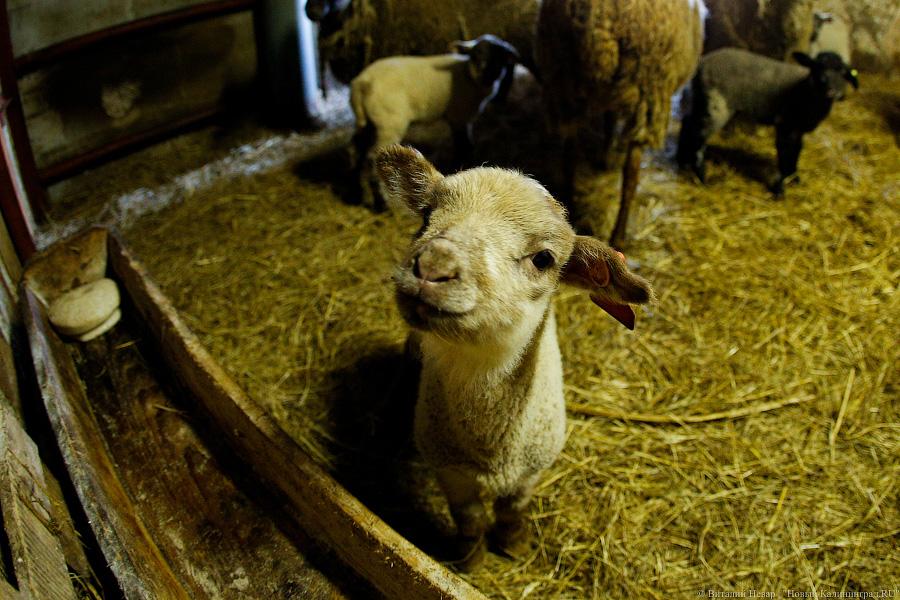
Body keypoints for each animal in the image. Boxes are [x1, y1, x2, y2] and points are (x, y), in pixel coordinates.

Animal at [349, 35, 520, 209]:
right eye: (475, 55)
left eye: (499, 57)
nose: (482, 75)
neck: (468, 75)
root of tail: (363, 83)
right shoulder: (459, 116)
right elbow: (463, 146)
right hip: (389, 124)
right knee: (371, 157)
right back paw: (381, 203)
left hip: (369, 122)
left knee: (355, 149)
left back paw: (355, 194)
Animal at [375, 144, 654, 569]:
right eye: (425, 217)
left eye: (543, 259)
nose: (434, 265)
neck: (492, 450)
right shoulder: (448, 469)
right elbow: (469, 518)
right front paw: (470, 559)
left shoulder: (531, 470)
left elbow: (511, 510)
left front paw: (512, 544)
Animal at [535, 0, 706, 248]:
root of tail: (599, 20)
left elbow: (609, 120)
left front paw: (606, 155)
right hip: (647, 92)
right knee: (630, 177)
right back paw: (619, 236)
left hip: (564, 84)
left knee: (569, 155)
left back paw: (568, 207)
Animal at [675, 48, 859, 195]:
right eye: (816, 67)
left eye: (843, 72)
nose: (831, 91)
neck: (805, 90)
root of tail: (701, 64)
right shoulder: (785, 124)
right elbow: (785, 153)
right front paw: (780, 188)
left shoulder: (797, 128)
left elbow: (796, 151)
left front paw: (794, 178)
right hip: (717, 105)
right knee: (699, 138)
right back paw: (701, 177)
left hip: (702, 100)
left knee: (688, 124)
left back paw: (682, 163)